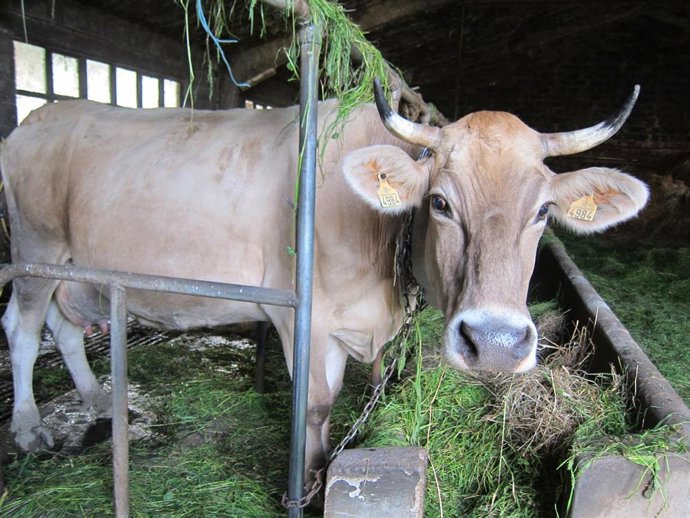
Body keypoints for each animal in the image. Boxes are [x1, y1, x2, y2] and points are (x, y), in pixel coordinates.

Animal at [0, 81, 648, 483]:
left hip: (72, 270)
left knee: (62, 326)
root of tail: (39, 117)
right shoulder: (302, 318)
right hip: (34, 252)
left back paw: (96, 397)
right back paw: (30, 430)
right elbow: (315, 407)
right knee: (23, 328)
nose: (493, 342)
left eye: (542, 212)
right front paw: (310, 481)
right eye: (440, 202)